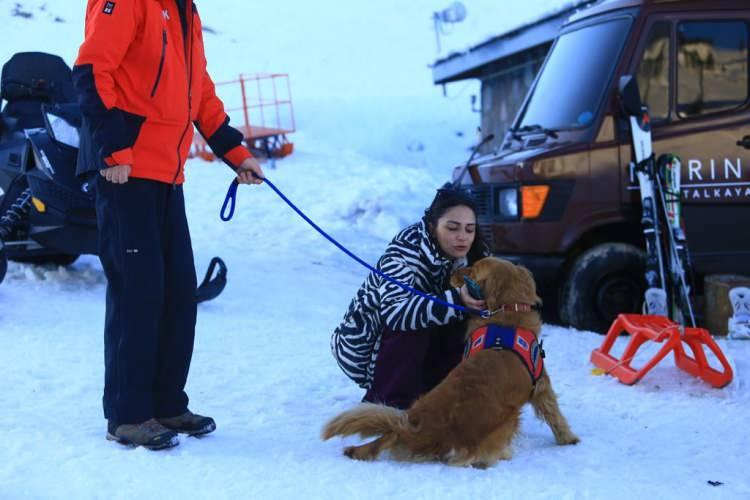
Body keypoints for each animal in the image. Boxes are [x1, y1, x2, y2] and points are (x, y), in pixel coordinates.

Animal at [324, 258, 580, 468]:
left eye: (472, 270)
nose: (455, 270)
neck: (505, 313)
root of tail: (417, 430)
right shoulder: (541, 384)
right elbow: (555, 414)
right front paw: (568, 439)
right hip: (508, 418)